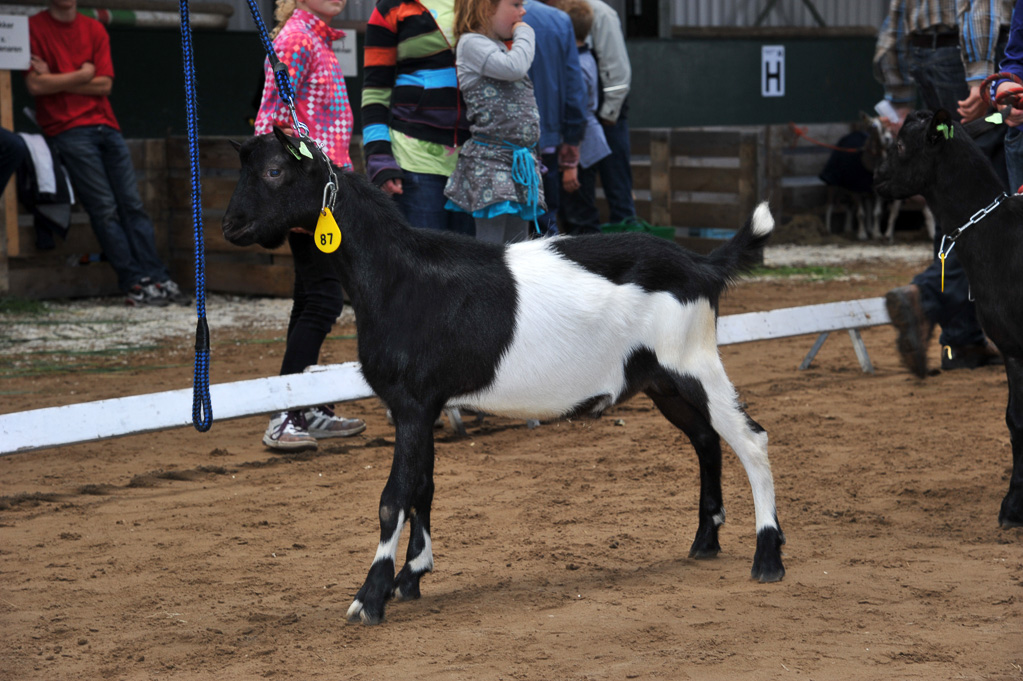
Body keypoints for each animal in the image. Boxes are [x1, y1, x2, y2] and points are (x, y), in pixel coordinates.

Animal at [221, 129, 781, 621]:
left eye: (273, 171)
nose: (229, 226)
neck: (399, 275)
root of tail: (703, 267)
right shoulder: (424, 405)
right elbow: (423, 486)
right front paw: (412, 575)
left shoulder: (412, 401)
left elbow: (393, 498)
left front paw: (370, 598)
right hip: (663, 379)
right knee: (706, 440)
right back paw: (705, 540)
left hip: (694, 361)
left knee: (751, 439)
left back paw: (768, 558)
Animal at [871, 109, 1023, 523]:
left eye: (901, 144)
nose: (875, 176)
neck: (996, 233)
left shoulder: (1015, 348)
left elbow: (1016, 420)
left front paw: (1012, 507)